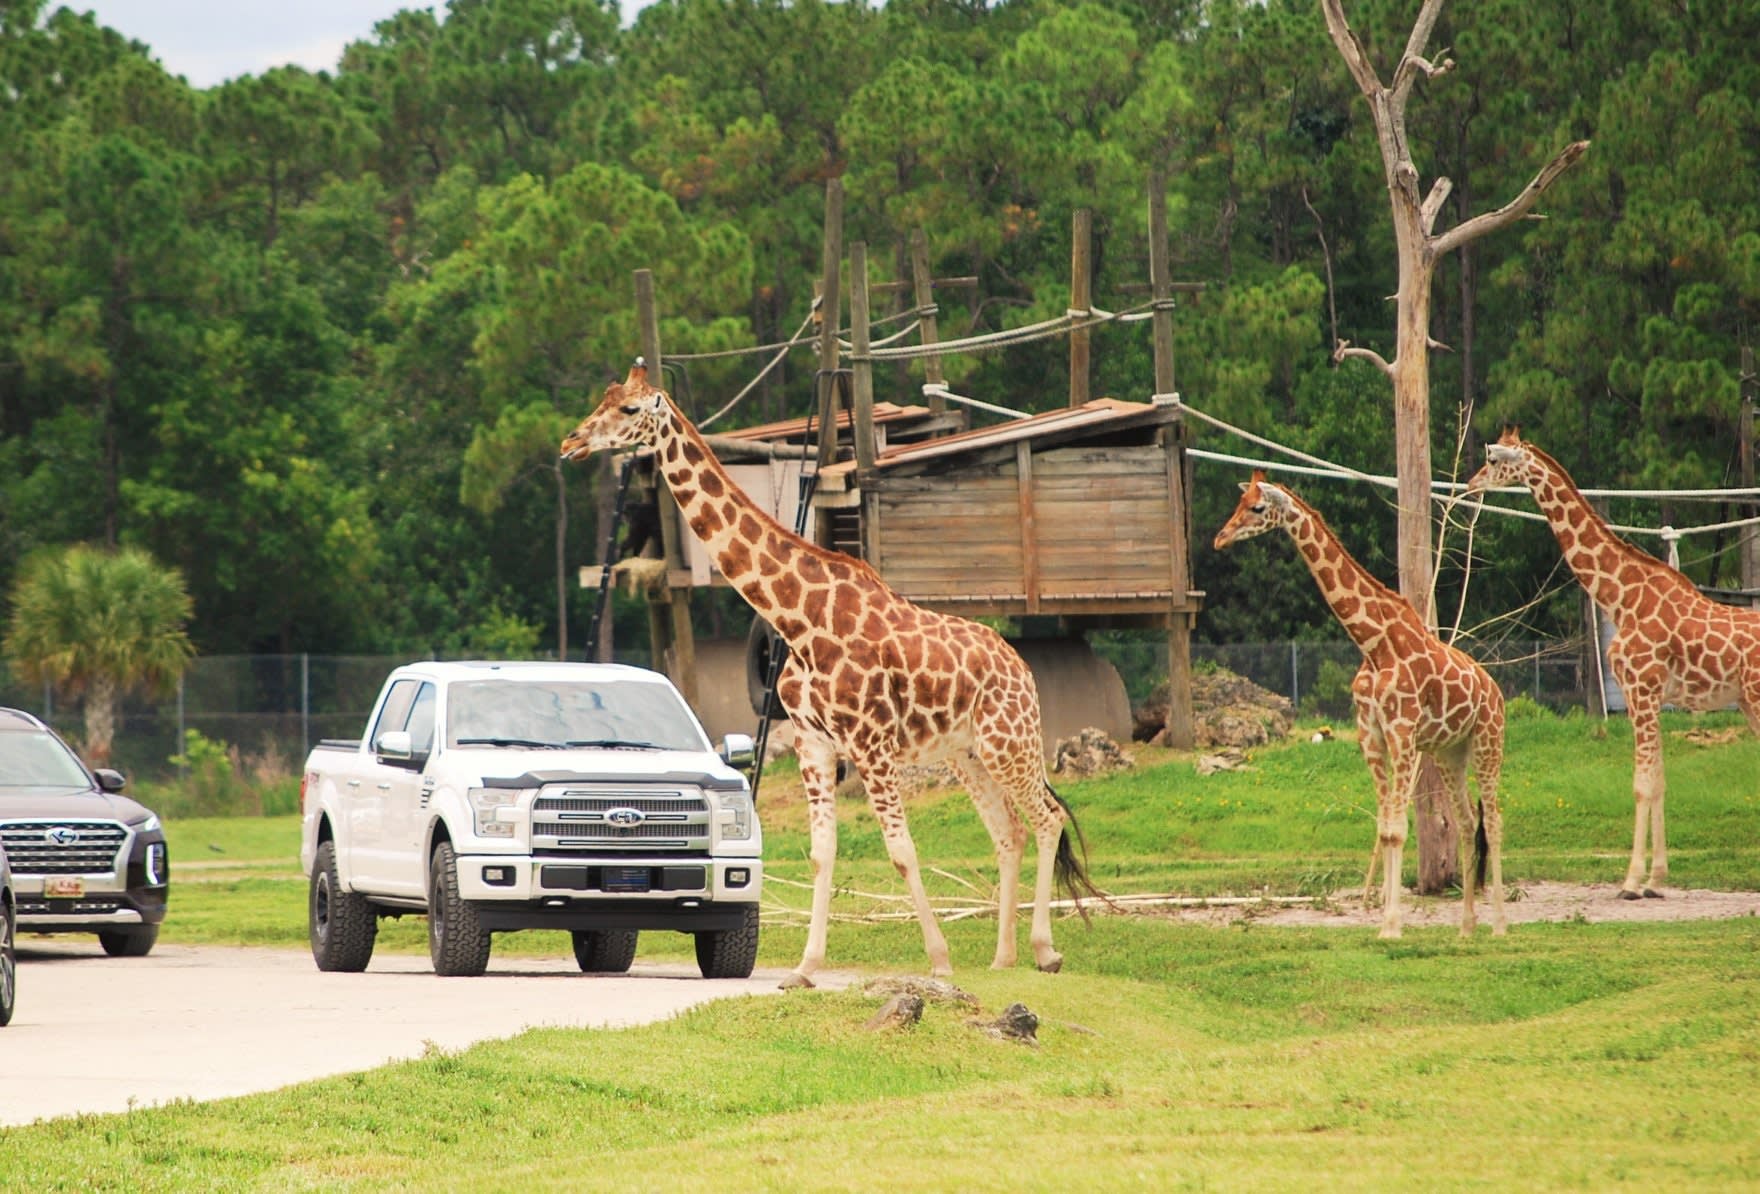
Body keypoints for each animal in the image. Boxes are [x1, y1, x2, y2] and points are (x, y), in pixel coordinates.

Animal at [559, 362, 1098, 993]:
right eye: (603, 399)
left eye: (627, 410)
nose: (571, 442)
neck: (798, 619)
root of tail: (1023, 668)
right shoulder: (815, 744)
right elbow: (821, 854)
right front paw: (804, 968)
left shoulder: (871, 744)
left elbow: (902, 851)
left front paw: (938, 960)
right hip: (966, 754)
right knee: (1009, 832)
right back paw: (1003, 957)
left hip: (1009, 739)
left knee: (1048, 816)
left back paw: (1045, 951)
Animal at [1210, 471, 1513, 936]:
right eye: (1239, 503)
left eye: (1257, 508)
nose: (1219, 538)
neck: (1374, 644)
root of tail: (1495, 690)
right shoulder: (1371, 735)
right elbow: (1386, 828)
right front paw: (1384, 924)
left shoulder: (1402, 733)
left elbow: (1399, 828)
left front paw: (1392, 925)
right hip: (1449, 752)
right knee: (1465, 823)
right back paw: (1465, 929)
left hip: (1487, 741)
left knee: (1494, 822)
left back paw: (1498, 926)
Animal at [1457, 427, 1760, 898]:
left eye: (1492, 460)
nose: (1470, 485)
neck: (1620, 598)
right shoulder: (1646, 697)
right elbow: (1658, 781)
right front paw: (1655, 879)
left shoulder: (1642, 688)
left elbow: (1641, 784)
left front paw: (1632, 881)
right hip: (1746, 702)